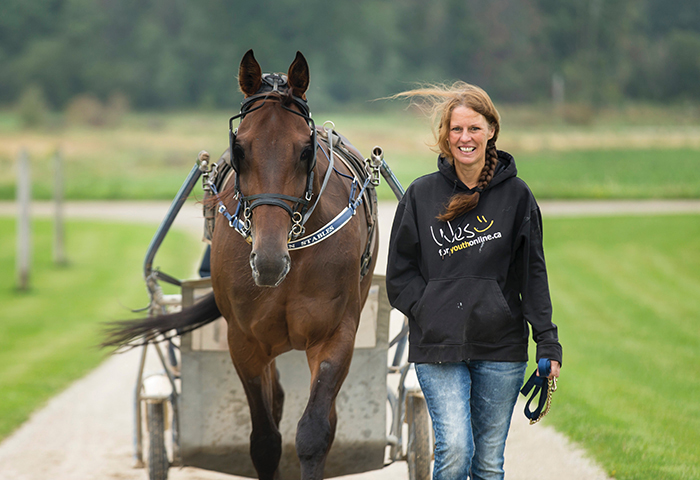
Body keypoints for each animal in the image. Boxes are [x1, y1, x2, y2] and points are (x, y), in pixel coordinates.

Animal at [105, 49, 378, 480]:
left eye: (305, 150)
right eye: (241, 149)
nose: (268, 261)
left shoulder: (335, 334)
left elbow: (315, 431)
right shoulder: (245, 342)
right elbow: (265, 440)